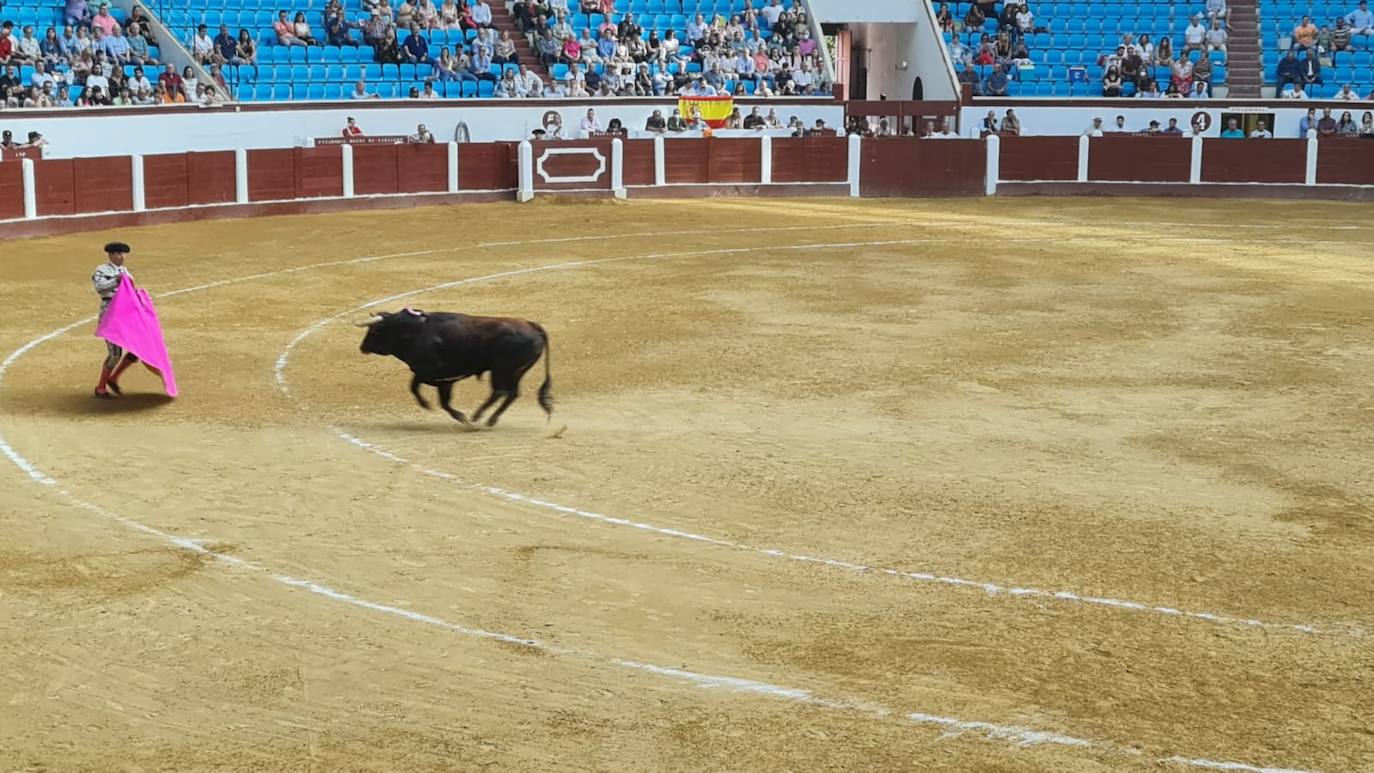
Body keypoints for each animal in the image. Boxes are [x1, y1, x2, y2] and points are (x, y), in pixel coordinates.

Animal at [357, 308, 555, 428]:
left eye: (374, 331)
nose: (362, 347)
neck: (414, 331)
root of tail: (532, 325)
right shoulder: (439, 378)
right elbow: (435, 397)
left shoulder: (436, 374)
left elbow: (420, 390)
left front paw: (455, 415)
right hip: (515, 372)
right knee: (512, 393)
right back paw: (491, 419)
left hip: (502, 370)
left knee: (500, 391)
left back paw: (478, 416)